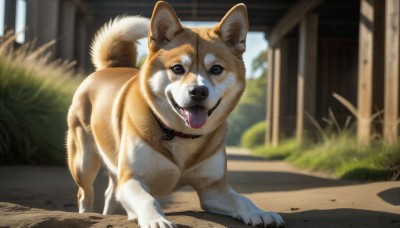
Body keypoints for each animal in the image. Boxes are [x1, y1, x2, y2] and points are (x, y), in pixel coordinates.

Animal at [66, 1, 284, 228]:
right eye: (178, 68)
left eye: (216, 69)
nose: (198, 91)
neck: (181, 134)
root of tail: (112, 66)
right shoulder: (132, 179)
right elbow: (148, 199)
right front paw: (156, 219)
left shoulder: (213, 188)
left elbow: (242, 199)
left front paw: (259, 212)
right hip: (83, 161)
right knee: (85, 193)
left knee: (110, 192)